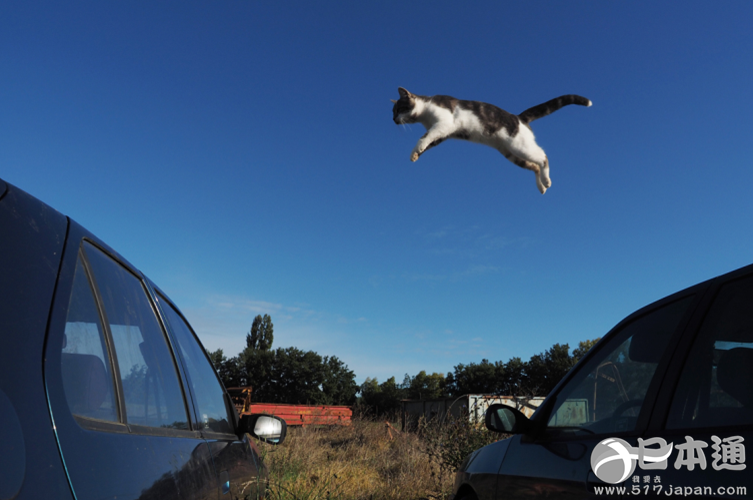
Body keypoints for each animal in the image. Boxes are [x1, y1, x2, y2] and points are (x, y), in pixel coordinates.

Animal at [390, 88, 592, 193]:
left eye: (398, 109)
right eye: (392, 112)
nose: (393, 120)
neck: (424, 113)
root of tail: (519, 118)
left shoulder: (444, 123)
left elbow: (424, 137)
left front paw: (417, 149)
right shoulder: (442, 134)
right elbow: (427, 142)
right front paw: (415, 154)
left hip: (519, 146)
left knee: (543, 157)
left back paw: (546, 180)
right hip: (512, 155)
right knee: (534, 166)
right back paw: (541, 187)